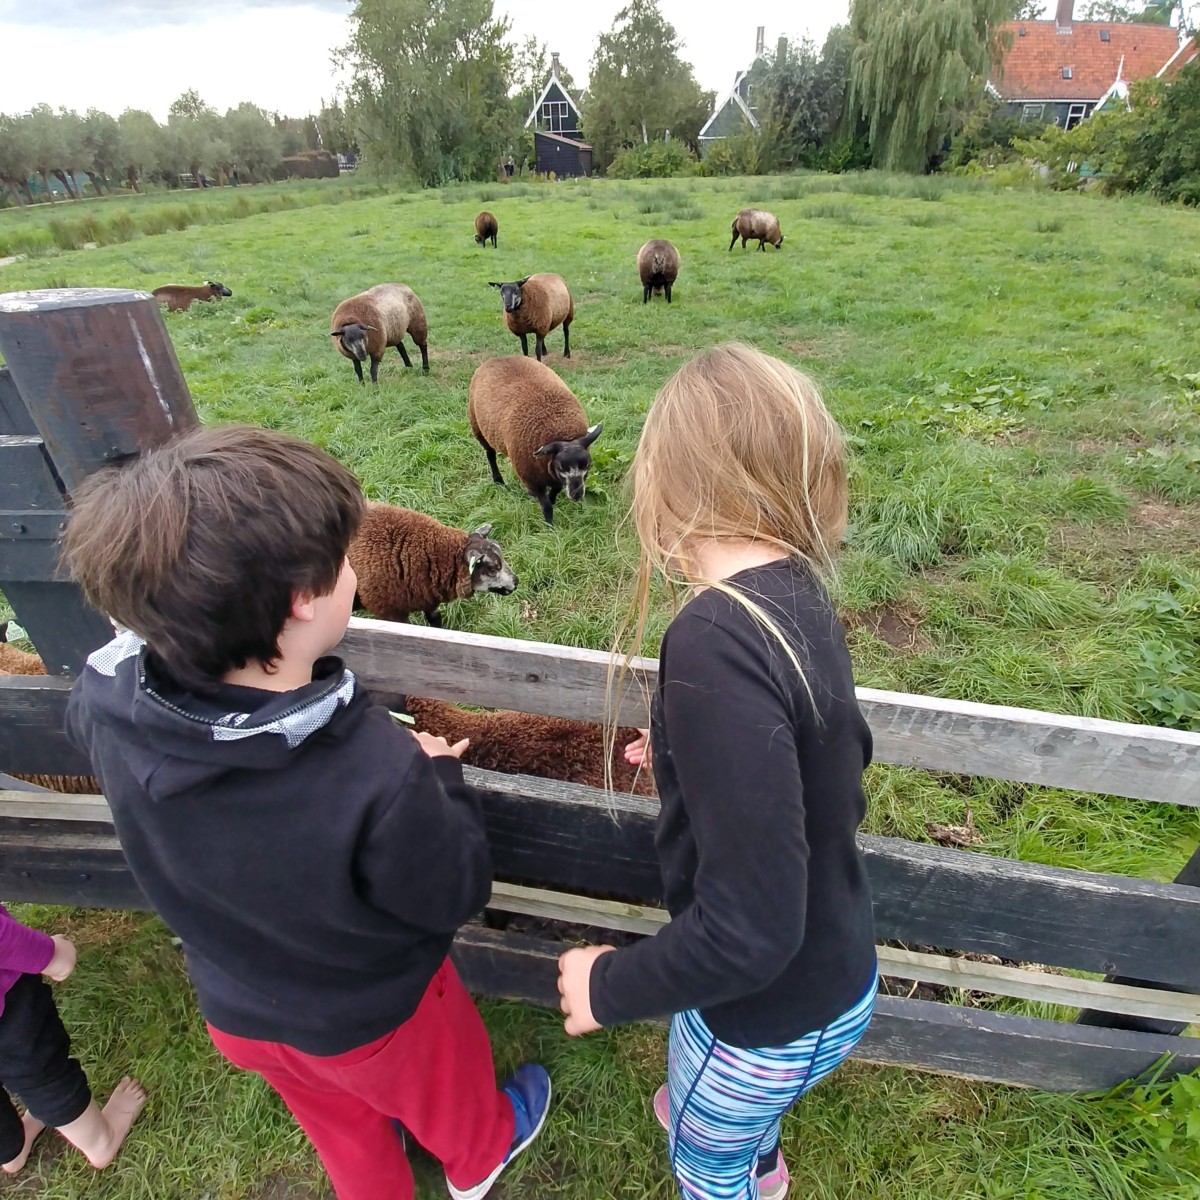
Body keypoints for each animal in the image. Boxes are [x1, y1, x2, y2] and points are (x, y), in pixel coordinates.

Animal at [468, 355, 602, 526]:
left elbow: (554, 493)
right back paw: (498, 481)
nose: (577, 495)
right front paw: (549, 526)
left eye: (588, 465)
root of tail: (498, 358)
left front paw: (552, 500)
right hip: (478, 427)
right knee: (490, 455)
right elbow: (546, 506)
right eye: (561, 467)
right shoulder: (532, 478)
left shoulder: (551, 475)